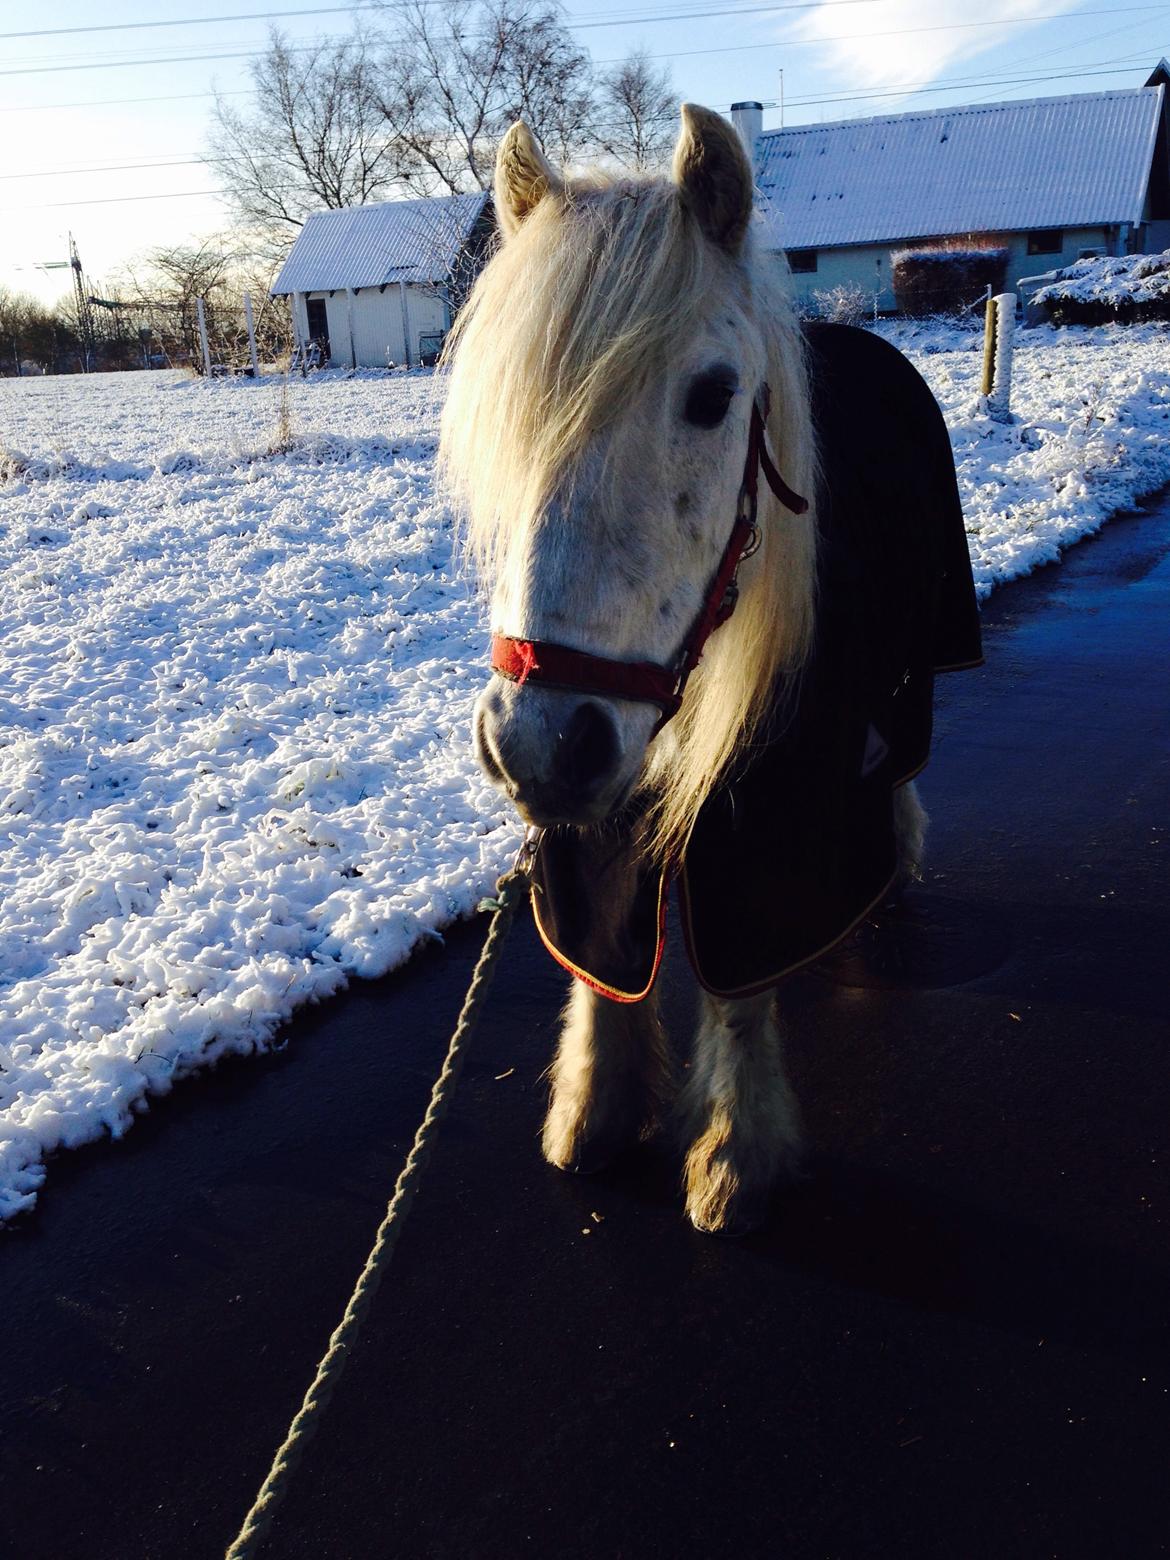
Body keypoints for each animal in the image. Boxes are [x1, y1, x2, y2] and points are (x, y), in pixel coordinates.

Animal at [439, 104, 982, 1235]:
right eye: (510, 416)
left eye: (714, 395)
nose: (536, 746)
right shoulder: (596, 782)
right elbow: (603, 954)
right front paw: (596, 1110)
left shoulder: (772, 793)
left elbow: (743, 972)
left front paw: (735, 1152)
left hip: (920, 662)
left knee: (905, 756)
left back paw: (897, 849)